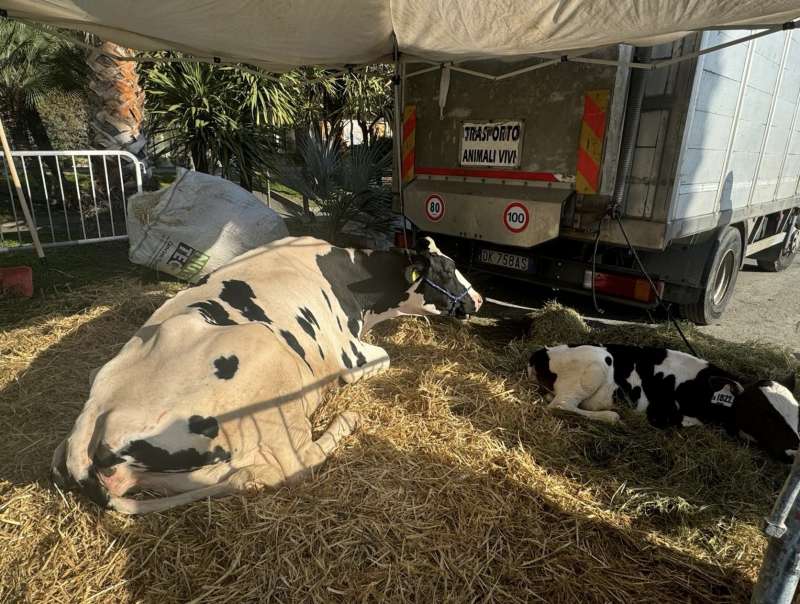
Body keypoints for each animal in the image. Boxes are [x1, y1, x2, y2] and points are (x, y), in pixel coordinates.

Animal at [54, 236, 488, 516]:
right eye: (446, 270)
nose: (480, 299)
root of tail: (96, 413)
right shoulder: (352, 355)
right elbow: (383, 356)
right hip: (270, 368)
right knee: (296, 461)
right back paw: (346, 420)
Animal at [528, 344, 796, 462]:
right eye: (764, 413)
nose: (796, 449)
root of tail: (542, 352)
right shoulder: (659, 412)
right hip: (596, 365)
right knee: (561, 405)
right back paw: (611, 416)